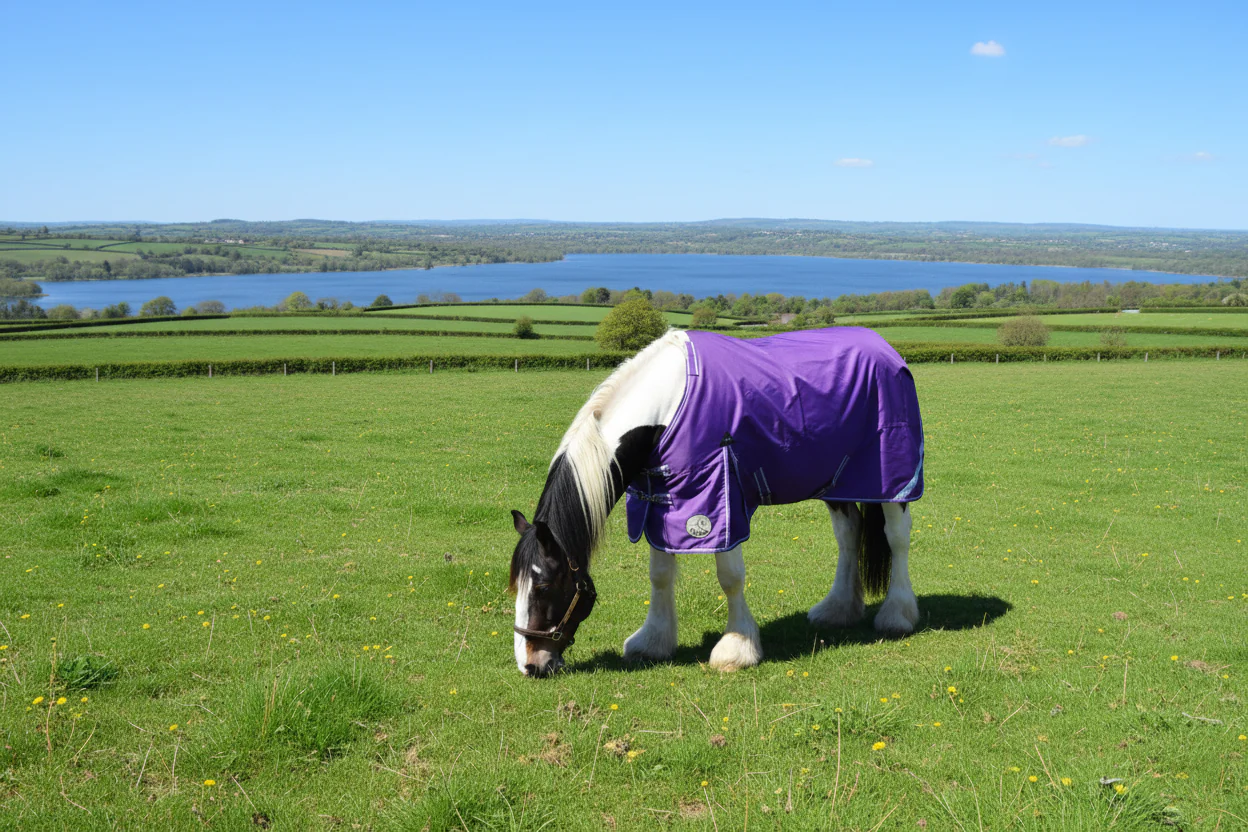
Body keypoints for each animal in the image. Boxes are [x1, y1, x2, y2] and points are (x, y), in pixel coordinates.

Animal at [508, 327, 924, 677]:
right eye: (517, 587)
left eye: (543, 587)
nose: (531, 665)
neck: (666, 407)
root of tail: (886, 349)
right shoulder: (658, 502)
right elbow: (660, 574)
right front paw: (652, 641)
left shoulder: (720, 501)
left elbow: (730, 577)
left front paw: (736, 648)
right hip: (836, 481)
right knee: (848, 533)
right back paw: (838, 609)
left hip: (891, 479)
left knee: (897, 536)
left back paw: (898, 615)